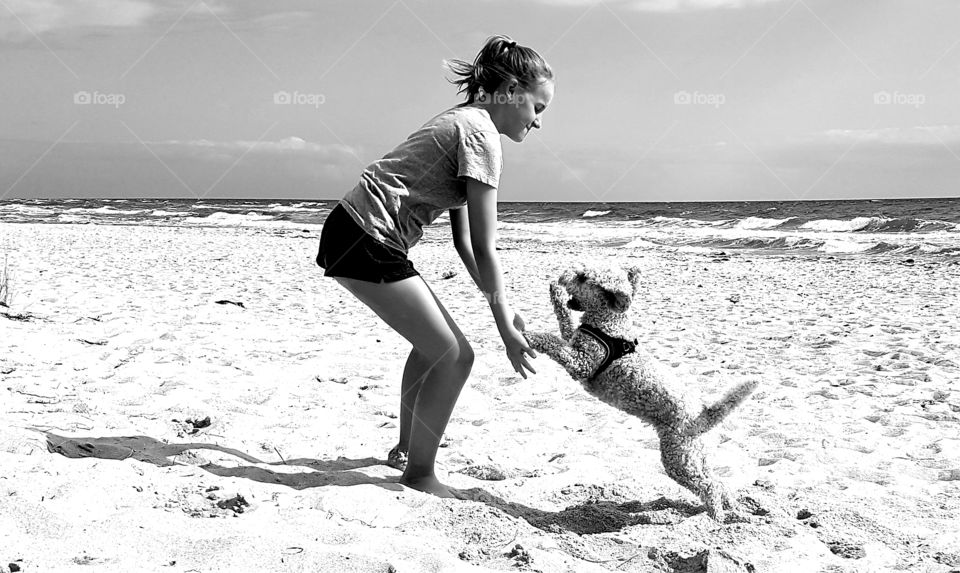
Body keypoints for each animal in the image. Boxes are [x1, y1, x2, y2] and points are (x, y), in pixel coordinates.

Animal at [524, 264, 756, 520]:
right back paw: (733, 510)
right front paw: (555, 294)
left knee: (709, 487)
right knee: (718, 482)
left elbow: (554, 342)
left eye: (583, 277)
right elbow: (565, 322)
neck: (610, 321)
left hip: (679, 458)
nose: (563, 274)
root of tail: (701, 415)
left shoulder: (581, 362)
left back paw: (715, 517)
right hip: (695, 455)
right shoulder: (575, 340)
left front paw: (532, 335)